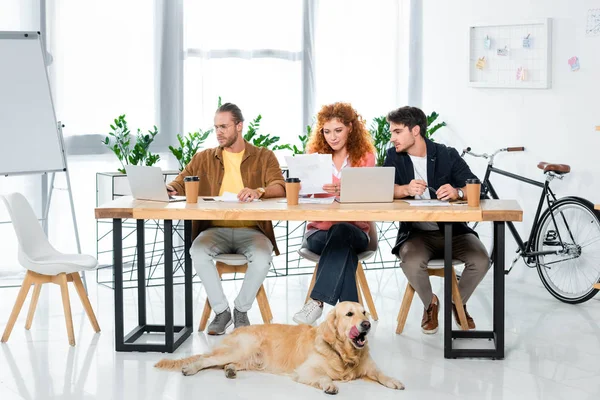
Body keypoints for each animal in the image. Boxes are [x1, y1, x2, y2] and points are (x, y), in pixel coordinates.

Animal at [155, 302, 404, 392]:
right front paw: (329, 385)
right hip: (240, 349)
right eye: (349, 314)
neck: (344, 353)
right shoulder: (306, 370)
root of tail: (235, 330)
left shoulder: (369, 367)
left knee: (225, 364)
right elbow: (324, 376)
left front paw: (394, 381)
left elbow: (381, 373)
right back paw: (190, 368)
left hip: (248, 358)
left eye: (364, 313)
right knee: (205, 360)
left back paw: (230, 371)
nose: (366, 325)